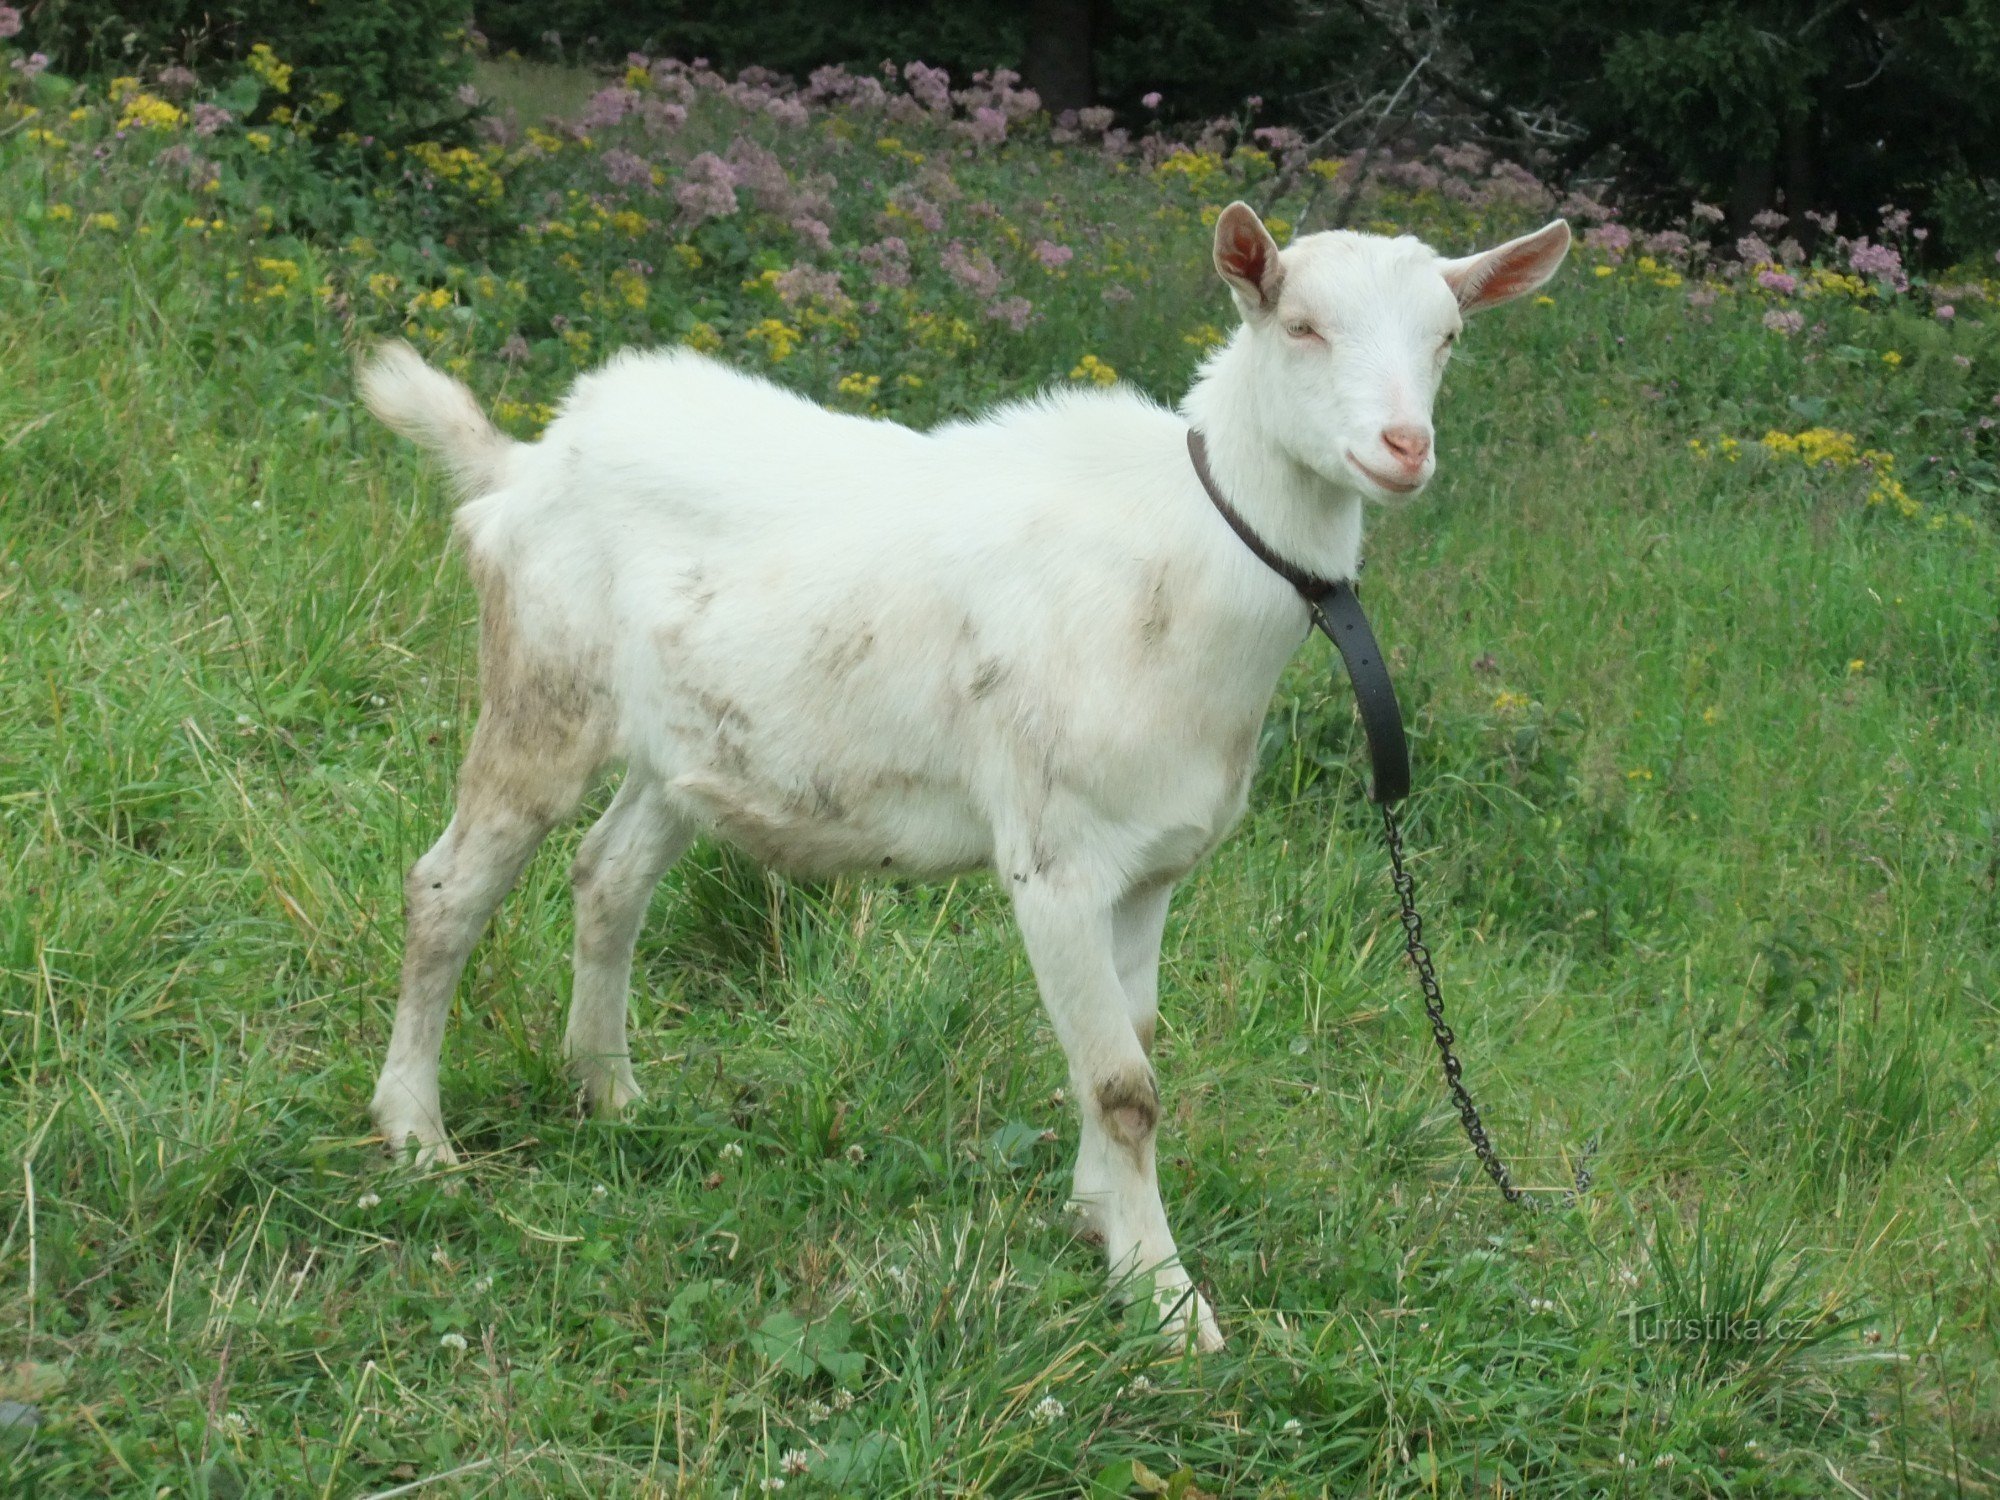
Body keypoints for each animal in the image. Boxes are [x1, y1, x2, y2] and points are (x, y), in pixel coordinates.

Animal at [368, 203, 1568, 1352]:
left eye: (1448, 338)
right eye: (1301, 325)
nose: (1402, 447)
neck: (1188, 563)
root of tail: (526, 464)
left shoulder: (1153, 867)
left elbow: (1131, 1048)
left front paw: (1097, 1223)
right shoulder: (1056, 860)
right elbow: (1124, 1087)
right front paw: (1168, 1304)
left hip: (689, 747)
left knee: (607, 877)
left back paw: (610, 1093)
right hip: (545, 688)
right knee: (447, 888)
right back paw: (415, 1134)